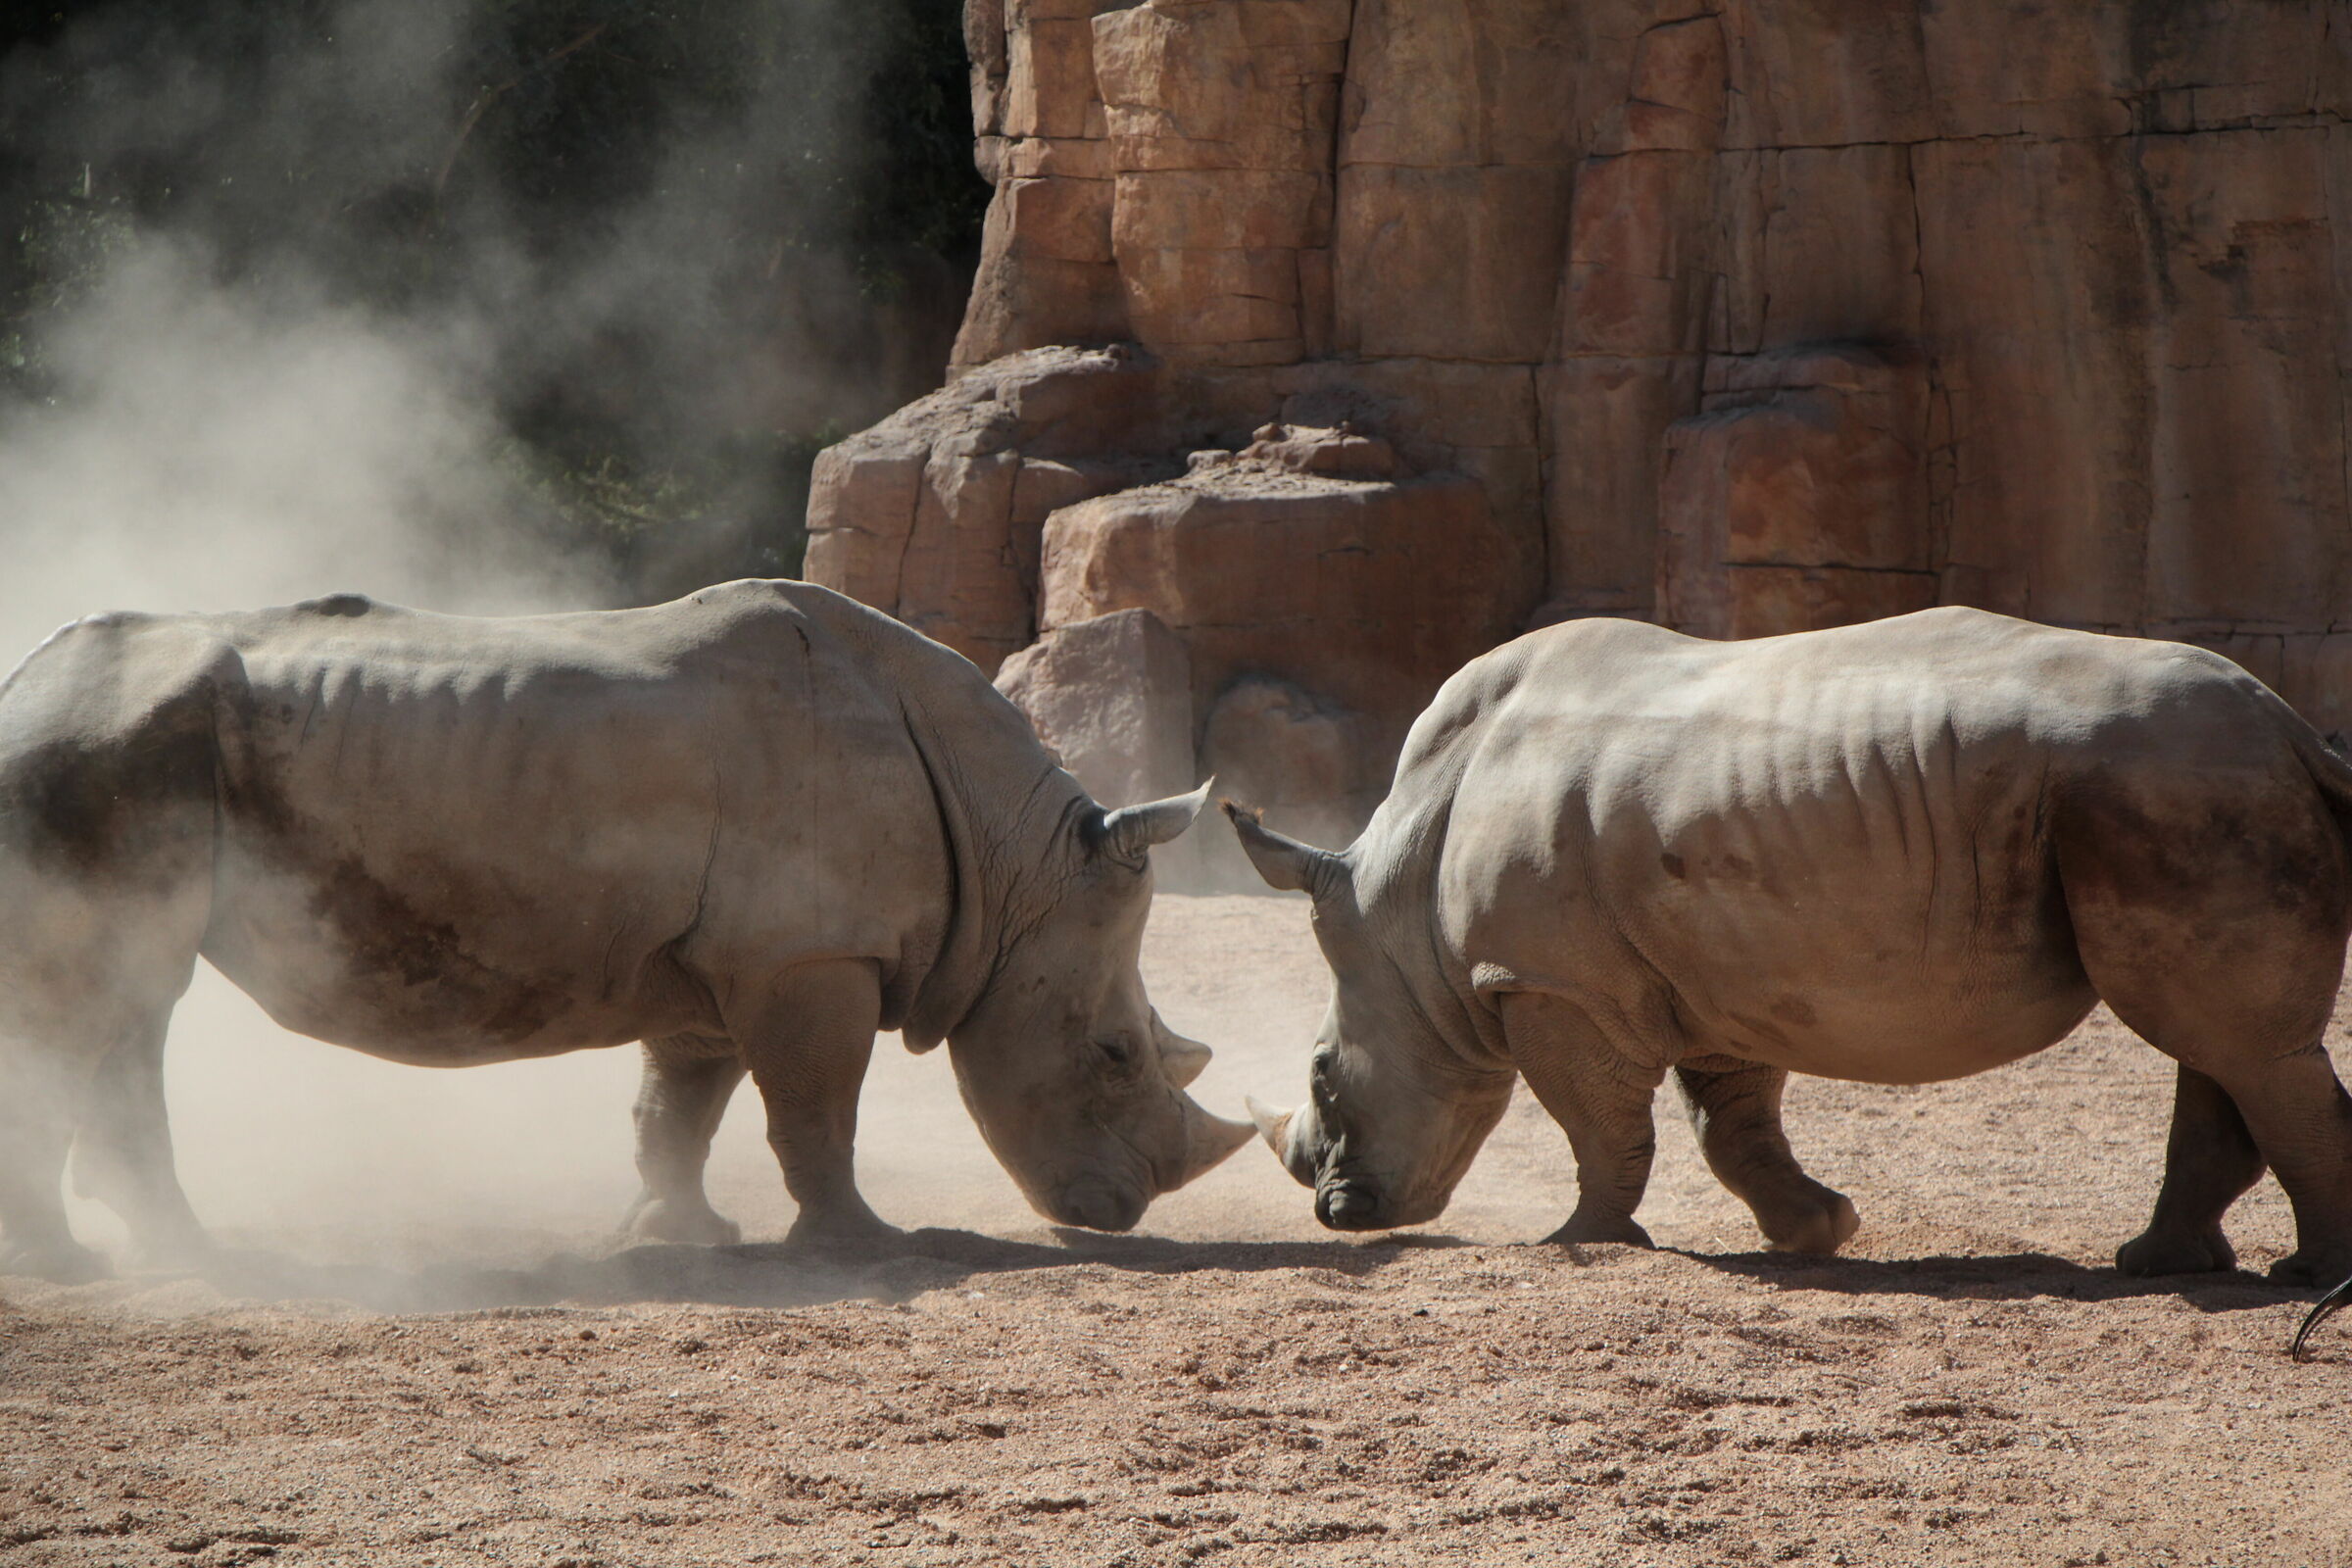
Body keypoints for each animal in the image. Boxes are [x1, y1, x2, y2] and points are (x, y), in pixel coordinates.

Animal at [0, 579, 1252, 1281]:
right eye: (1114, 1054)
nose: (1125, 1214)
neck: (1013, 863)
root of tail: (23, 680)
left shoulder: (722, 956)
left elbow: (682, 1101)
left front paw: (679, 1234)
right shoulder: (809, 952)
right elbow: (816, 1109)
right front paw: (858, 1245)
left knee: (123, 1002)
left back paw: (149, 1252)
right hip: (101, 756)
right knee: (105, 997)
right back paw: (122, 1262)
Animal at [1230, 607, 2352, 1285]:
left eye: (1324, 1075)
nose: (1339, 1213)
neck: (1400, 907)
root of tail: (2292, 725)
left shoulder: (1553, 985)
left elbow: (1599, 1123)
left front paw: (1582, 1243)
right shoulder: (1710, 970)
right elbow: (1731, 1124)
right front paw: (1818, 1233)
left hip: (2168, 782)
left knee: (2228, 1040)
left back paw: (2306, 1277)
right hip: (2177, 784)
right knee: (2216, 1040)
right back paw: (2161, 1264)